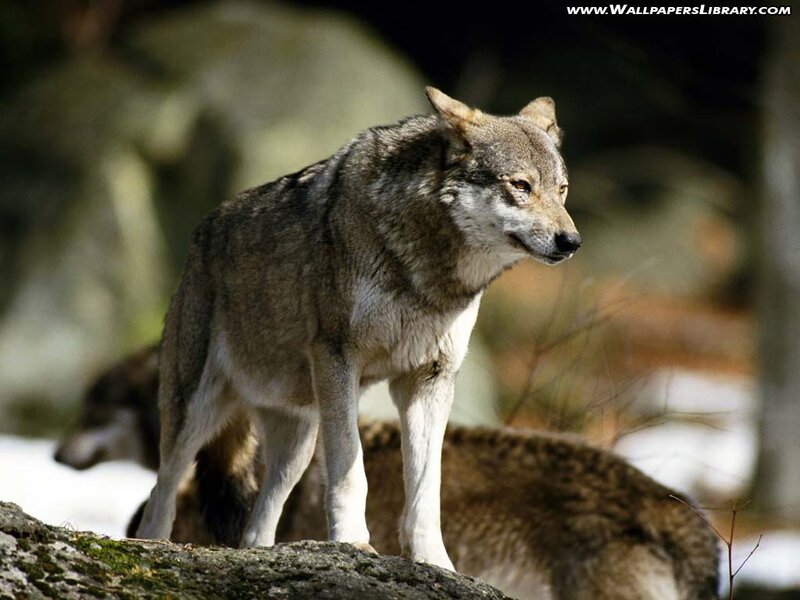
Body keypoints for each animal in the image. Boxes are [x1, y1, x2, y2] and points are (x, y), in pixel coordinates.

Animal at [134, 87, 581, 568]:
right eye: (520, 186)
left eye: (561, 190)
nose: (571, 242)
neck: (427, 275)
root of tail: (201, 233)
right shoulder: (338, 359)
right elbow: (352, 470)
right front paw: (351, 541)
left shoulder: (428, 381)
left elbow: (427, 491)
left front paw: (435, 563)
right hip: (197, 412)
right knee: (162, 490)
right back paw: (153, 547)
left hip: (299, 441)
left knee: (258, 521)